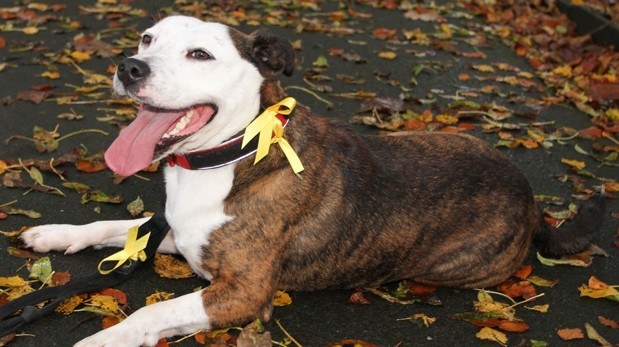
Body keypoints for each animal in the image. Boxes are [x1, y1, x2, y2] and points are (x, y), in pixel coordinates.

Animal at [20, 14, 604, 346]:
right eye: (146, 38)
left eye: (200, 54)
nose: (129, 66)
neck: (237, 152)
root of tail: (532, 203)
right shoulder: (180, 235)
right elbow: (119, 225)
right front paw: (57, 234)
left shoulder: (243, 291)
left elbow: (154, 309)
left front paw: (106, 340)